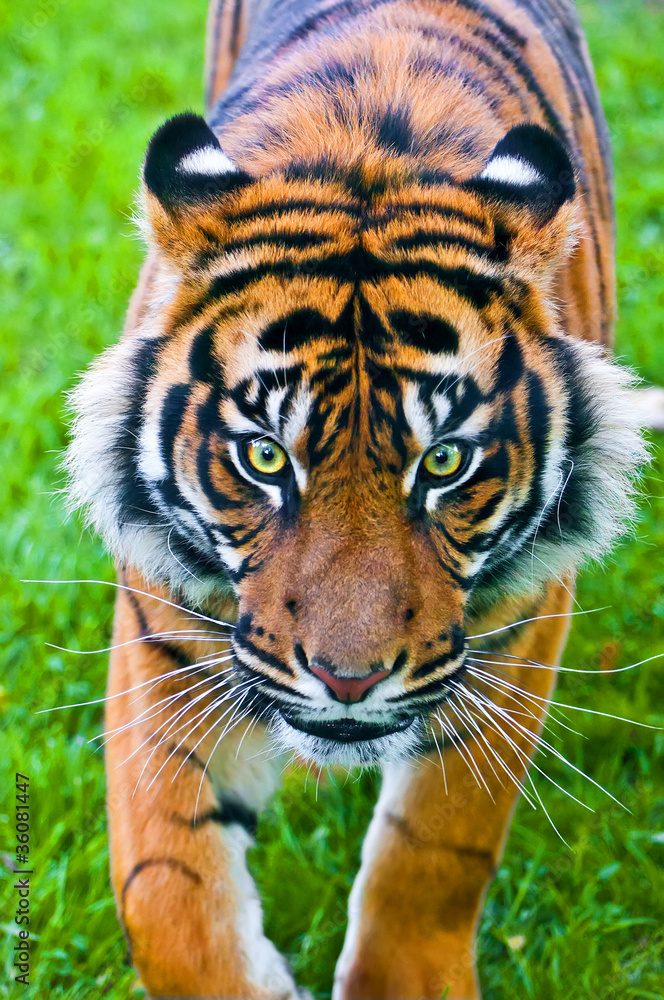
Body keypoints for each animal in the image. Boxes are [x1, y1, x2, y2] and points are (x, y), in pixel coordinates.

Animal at [65, 0, 650, 997]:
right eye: (265, 456)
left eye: (445, 462)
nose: (348, 680)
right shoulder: (164, 638)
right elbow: (166, 901)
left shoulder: (521, 626)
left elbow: (435, 850)